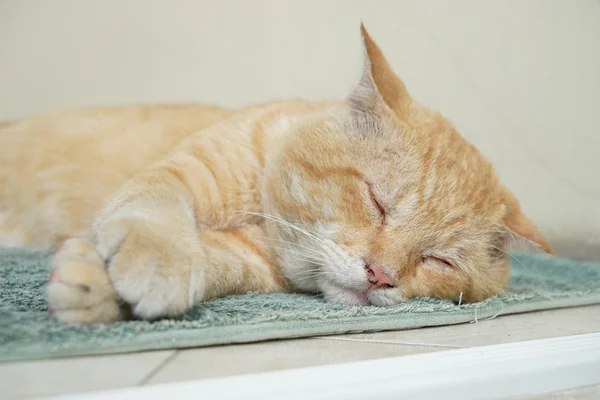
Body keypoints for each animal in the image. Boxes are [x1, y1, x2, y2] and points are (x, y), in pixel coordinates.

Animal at [0, 24, 552, 324]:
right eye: (377, 201)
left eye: (439, 260)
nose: (381, 275)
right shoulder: (183, 174)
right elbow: (156, 212)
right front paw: (156, 261)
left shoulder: (244, 259)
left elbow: (208, 261)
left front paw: (98, 286)